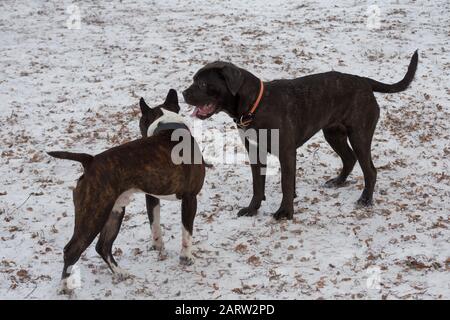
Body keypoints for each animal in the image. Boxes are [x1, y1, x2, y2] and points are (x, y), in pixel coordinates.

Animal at [183, 51, 418, 220]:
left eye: (203, 84)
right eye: (194, 80)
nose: (184, 93)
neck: (255, 106)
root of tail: (364, 82)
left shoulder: (286, 153)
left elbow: (286, 184)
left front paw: (285, 212)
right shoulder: (255, 154)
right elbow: (257, 185)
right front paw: (253, 209)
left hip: (359, 135)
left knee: (370, 170)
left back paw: (366, 199)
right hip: (334, 134)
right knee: (349, 159)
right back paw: (338, 181)